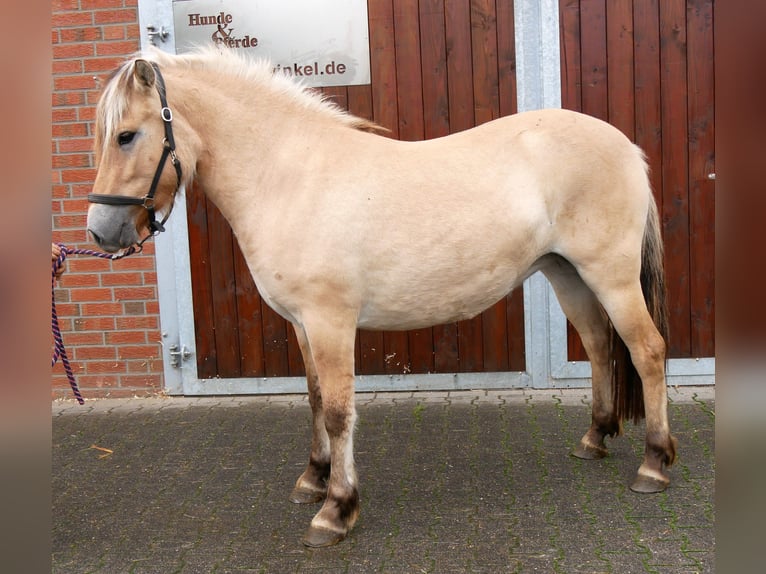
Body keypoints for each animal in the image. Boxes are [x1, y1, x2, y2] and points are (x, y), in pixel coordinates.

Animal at [86, 47, 677, 547]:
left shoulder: (330, 321)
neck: (288, 177)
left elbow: (339, 411)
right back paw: (595, 438)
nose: (100, 232)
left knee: (647, 351)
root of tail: (626, 147)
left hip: (611, 275)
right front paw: (314, 479)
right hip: (566, 273)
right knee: (600, 346)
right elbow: (314, 399)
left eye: (127, 136)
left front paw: (336, 510)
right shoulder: (302, 324)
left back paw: (654, 464)